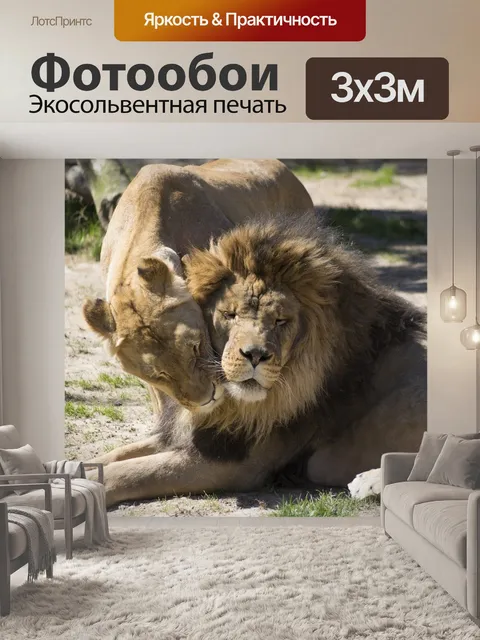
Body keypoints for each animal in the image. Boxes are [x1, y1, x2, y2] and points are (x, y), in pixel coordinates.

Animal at [92, 215, 426, 506]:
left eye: (280, 320)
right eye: (229, 314)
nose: (255, 355)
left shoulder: (235, 464)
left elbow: (125, 474)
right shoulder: (192, 437)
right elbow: (108, 457)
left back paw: (368, 483)